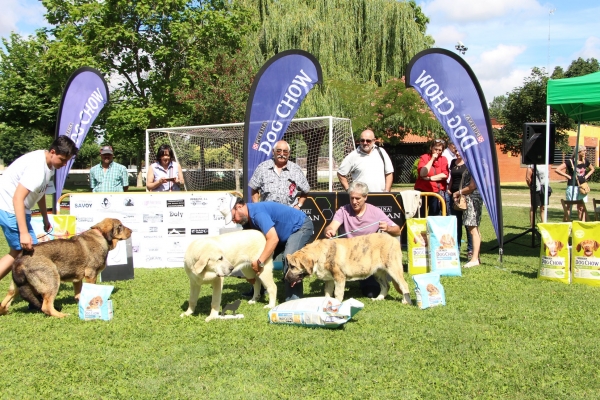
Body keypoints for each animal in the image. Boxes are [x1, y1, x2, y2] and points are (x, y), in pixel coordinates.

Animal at [0, 217, 131, 318]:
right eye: (120, 226)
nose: (132, 231)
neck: (101, 236)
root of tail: (20, 258)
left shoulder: (77, 280)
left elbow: (78, 294)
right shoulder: (91, 274)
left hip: (16, 287)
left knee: (4, 301)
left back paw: (5, 312)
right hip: (52, 280)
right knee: (46, 306)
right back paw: (61, 315)